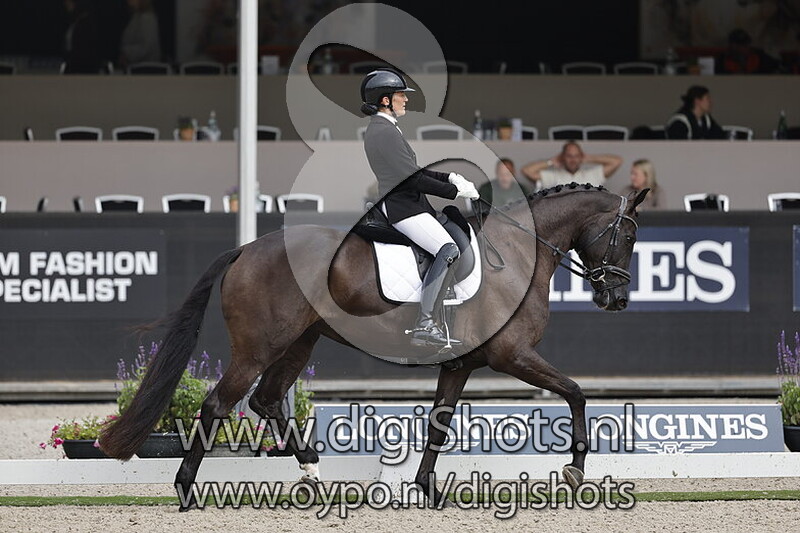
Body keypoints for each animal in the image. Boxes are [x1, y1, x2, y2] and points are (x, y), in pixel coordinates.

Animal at [99, 183, 648, 510]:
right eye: (627, 237)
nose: (617, 299)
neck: (519, 254)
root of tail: (246, 249)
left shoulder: (461, 365)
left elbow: (439, 422)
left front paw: (427, 490)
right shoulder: (511, 355)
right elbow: (576, 392)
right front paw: (575, 471)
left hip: (298, 344)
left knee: (267, 400)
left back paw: (313, 473)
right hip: (259, 346)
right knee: (218, 404)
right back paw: (186, 491)